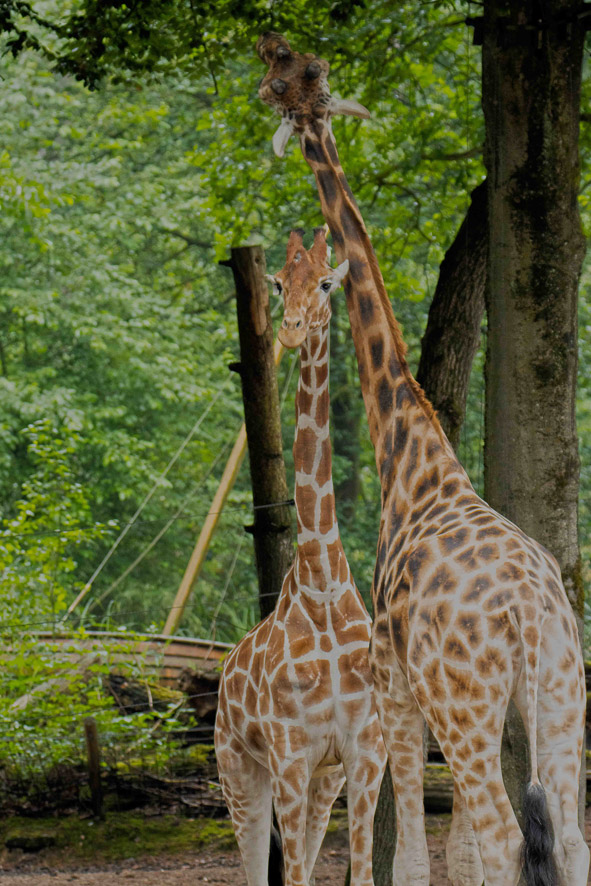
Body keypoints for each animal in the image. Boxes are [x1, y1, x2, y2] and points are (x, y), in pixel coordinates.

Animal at [214, 226, 387, 886]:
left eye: (327, 282)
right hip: (238, 769)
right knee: (251, 869)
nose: (290, 329)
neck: (321, 585)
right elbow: (288, 877)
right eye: (279, 282)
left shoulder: (362, 754)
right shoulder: (289, 756)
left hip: (321, 781)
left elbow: (358, 875)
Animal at [256, 34, 589, 886]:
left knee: (506, 836)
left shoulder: (394, 685)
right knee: (569, 839)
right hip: (558, 695)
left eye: (288, 74)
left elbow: (409, 857)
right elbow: (453, 854)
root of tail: (530, 612)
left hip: (463, 704)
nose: (270, 86)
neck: (411, 456)